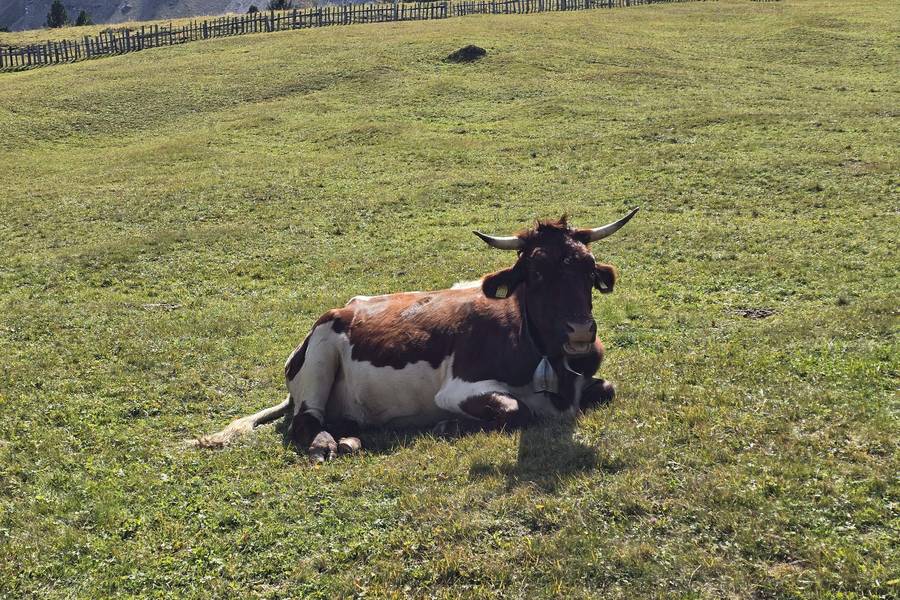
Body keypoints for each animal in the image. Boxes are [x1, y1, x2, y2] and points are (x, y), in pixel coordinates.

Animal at [195, 209, 639, 461]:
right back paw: (326, 444)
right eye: (537, 273)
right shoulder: (458, 389)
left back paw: (351, 437)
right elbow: (516, 409)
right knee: (305, 421)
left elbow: (608, 387)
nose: (580, 331)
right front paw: (446, 426)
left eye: (588, 269)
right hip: (322, 351)